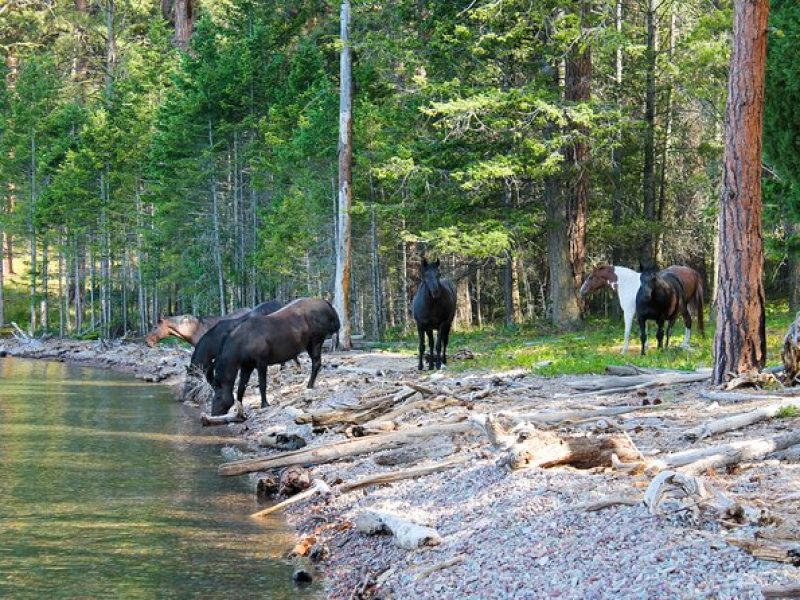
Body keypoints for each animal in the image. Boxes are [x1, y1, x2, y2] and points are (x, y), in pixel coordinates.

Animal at [209, 298, 338, 418]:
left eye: (218, 396)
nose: (213, 414)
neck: (243, 342)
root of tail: (327, 304)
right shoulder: (247, 366)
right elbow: (241, 388)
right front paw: (239, 408)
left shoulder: (261, 363)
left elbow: (262, 384)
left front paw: (264, 404)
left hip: (315, 342)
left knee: (316, 363)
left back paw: (310, 385)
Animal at [580, 262, 708, 352]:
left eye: (591, 277)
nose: (582, 291)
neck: (628, 283)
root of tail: (692, 272)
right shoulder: (641, 314)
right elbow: (645, 330)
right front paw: (645, 348)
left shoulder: (629, 312)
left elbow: (627, 332)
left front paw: (624, 351)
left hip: (682, 308)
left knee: (688, 320)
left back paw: (685, 344)